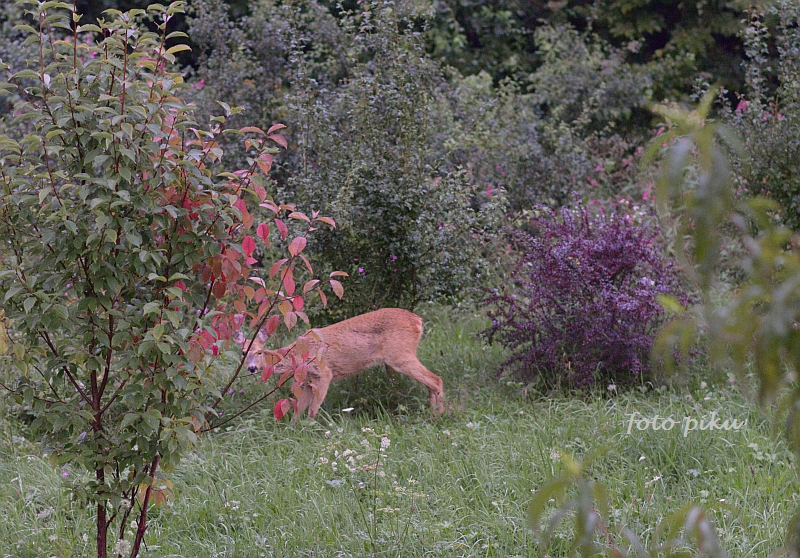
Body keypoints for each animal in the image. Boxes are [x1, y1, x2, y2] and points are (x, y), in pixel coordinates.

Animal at [232, 308, 444, 419]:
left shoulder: (324, 372)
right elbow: (298, 410)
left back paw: (438, 416)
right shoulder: (308, 381)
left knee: (436, 379)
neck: (298, 355)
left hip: (400, 354)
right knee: (431, 383)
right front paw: (292, 432)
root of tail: (418, 320)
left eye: (259, 352)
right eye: (243, 352)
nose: (252, 368)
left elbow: (312, 411)